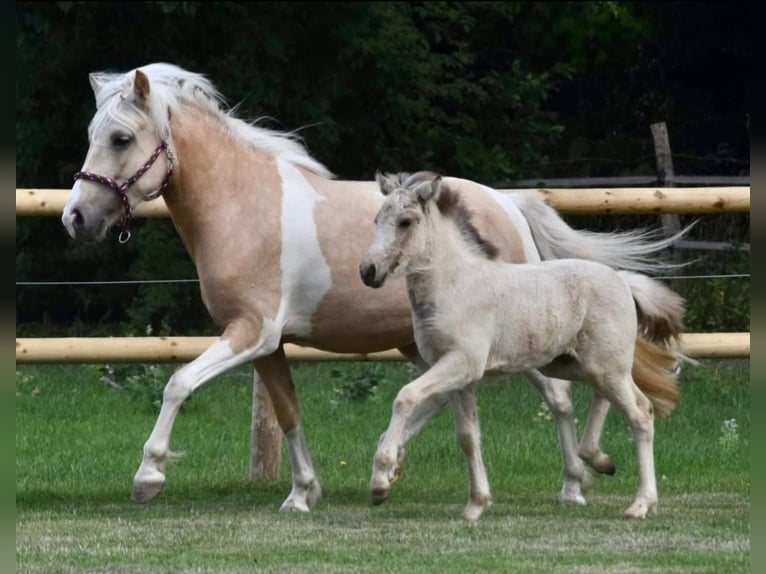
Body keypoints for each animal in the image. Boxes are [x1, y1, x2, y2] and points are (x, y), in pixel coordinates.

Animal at [360, 171, 686, 521]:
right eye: (377, 219)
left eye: (405, 222)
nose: (368, 271)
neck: (455, 284)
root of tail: (623, 281)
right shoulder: (457, 376)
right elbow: (468, 437)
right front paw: (476, 505)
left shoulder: (462, 362)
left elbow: (405, 397)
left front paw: (379, 481)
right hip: (575, 364)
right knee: (609, 399)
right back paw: (600, 460)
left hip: (607, 367)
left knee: (640, 414)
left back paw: (641, 503)